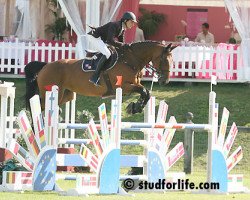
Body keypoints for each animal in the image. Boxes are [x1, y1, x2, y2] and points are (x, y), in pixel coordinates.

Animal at [24, 40, 174, 114]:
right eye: (164, 60)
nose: (165, 81)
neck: (131, 60)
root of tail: (45, 66)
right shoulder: (123, 86)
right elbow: (144, 90)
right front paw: (136, 107)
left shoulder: (130, 87)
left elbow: (146, 92)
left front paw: (136, 107)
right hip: (50, 92)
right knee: (38, 107)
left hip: (65, 95)